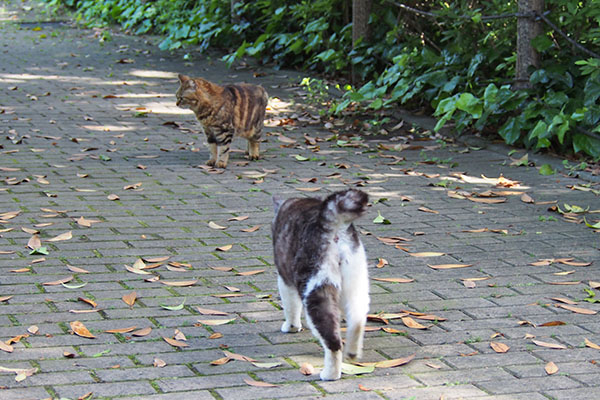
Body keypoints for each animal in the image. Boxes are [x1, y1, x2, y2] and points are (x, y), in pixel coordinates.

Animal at [272, 189, 370, 380]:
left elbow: (291, 307)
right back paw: (353, 352)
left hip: (316, 290)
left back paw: (330, 374)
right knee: (357, 319)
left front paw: (291, 327)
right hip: (356, 283)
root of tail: (331, 221)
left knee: (333, 341)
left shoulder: (285, 279)